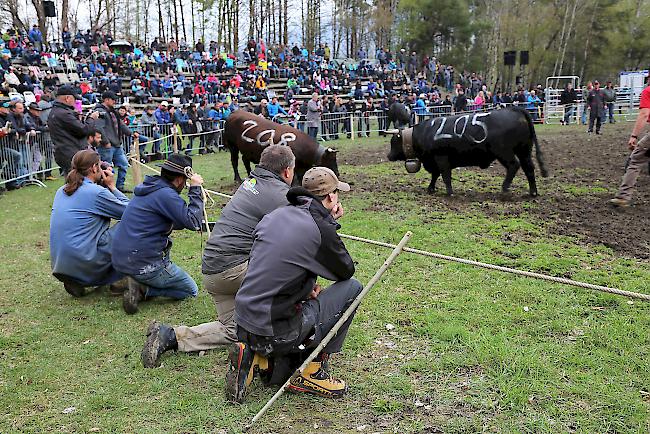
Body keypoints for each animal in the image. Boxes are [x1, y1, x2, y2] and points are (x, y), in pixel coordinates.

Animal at [384, 106, 548, 196]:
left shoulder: (441, 158)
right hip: (524, 150)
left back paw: (505, 188)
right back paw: (533, 192)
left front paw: (449, 192)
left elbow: (445, 176)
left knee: (514, 165)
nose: (388, 155)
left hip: (504, 152)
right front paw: (431, 188)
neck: (424, 133)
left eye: (393, 142)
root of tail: (515, 109)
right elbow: (435, 175)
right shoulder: (434, 160)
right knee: (529, 168)